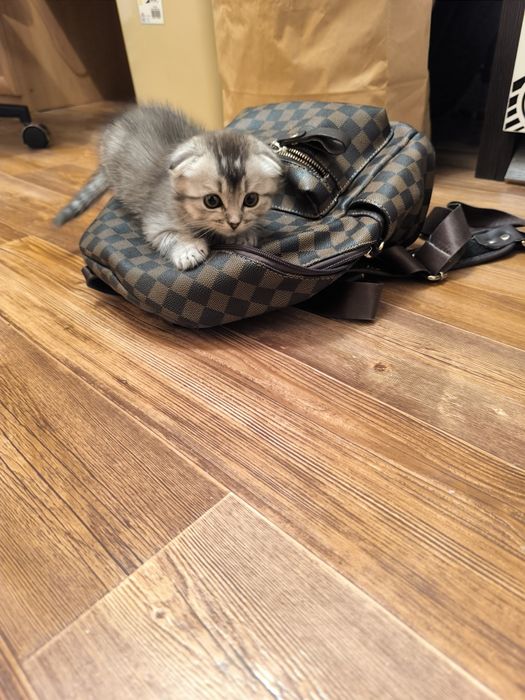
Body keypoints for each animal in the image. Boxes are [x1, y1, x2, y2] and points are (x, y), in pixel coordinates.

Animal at [54, 104, 283, 270]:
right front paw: (188, 249)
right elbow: (168, 235)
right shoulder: (155, 222)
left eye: (251, 199)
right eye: (211, 201)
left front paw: (243, 233)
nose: (235, 223)